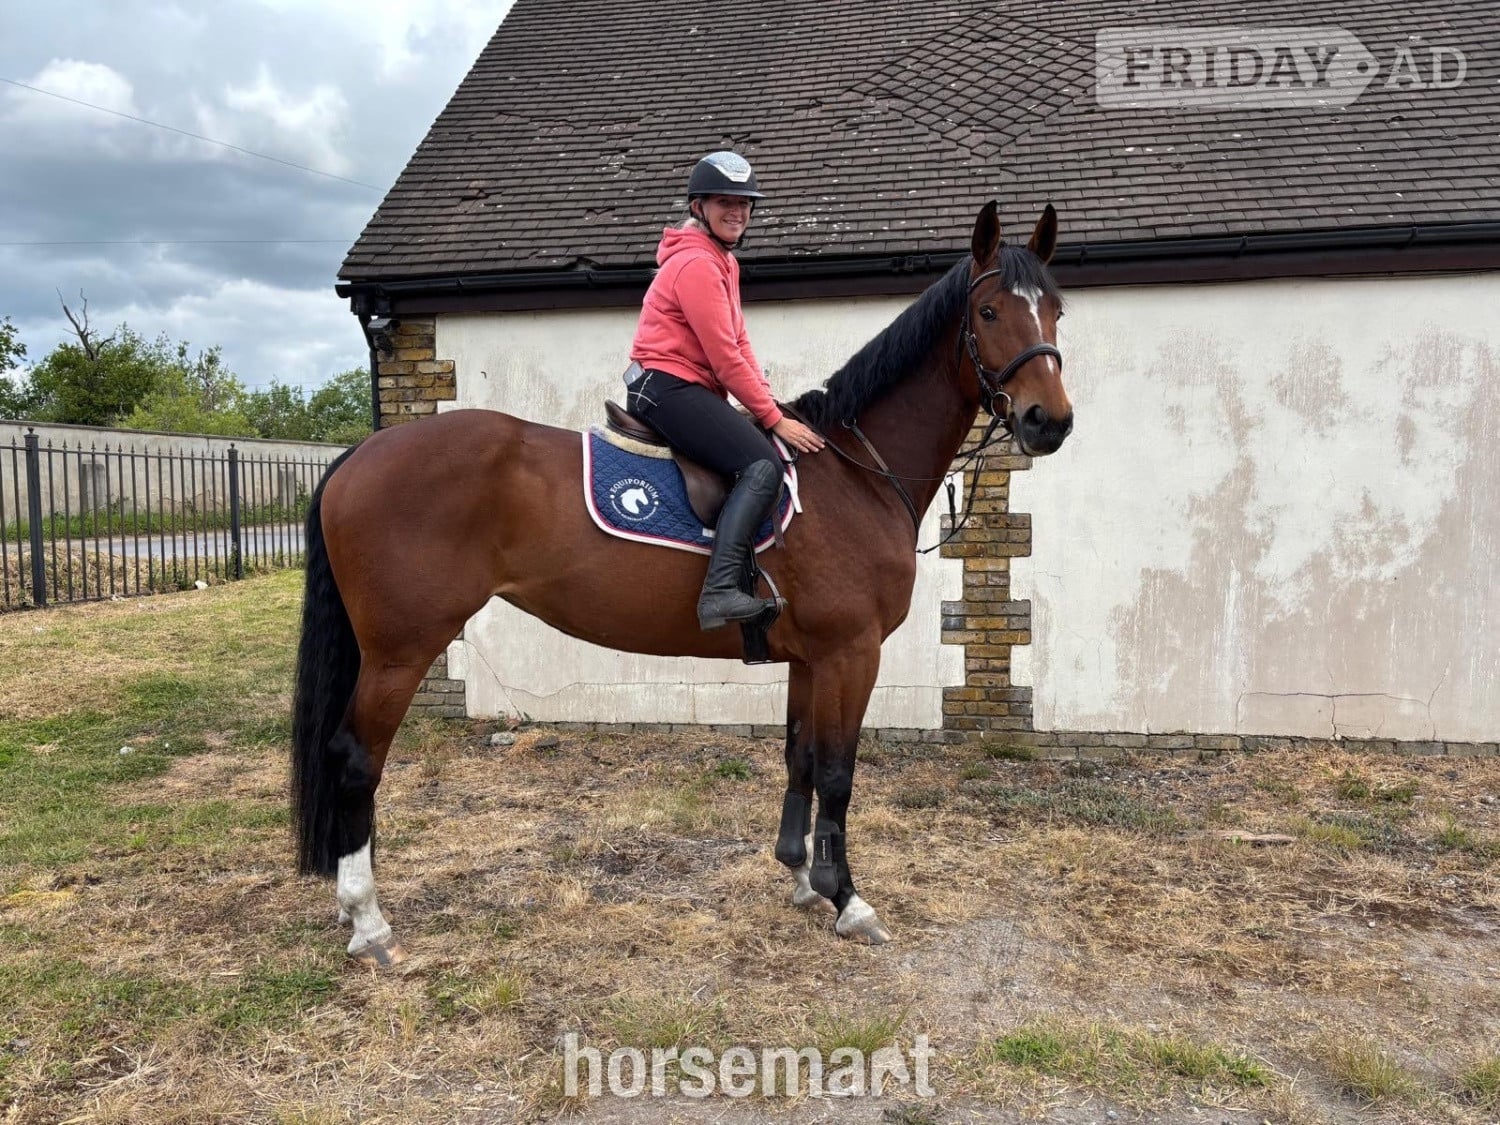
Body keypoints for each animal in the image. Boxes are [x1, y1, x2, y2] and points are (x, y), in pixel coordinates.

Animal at [291, 201, 1073, 965]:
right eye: (991, 311)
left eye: (1057, 310)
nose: (1050, 421)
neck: (855, 472)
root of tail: (361, 453)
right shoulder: (851, 653)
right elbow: (838, 773)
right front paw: (848, 899)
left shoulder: (810, 658)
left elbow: (799, 758)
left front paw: (800, 877)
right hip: (399, 650)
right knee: (356, 759)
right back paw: (369, 920)